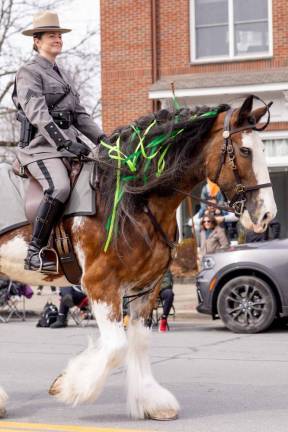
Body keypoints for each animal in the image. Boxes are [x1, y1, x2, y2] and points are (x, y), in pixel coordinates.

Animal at [0, 95, 276, 418]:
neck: (133, 199)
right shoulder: (100, 284)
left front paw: (150, 401)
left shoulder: (146, 287)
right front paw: (71, 386)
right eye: (245, 150)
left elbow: (139, 341)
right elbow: (116, 347)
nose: (267, 214)